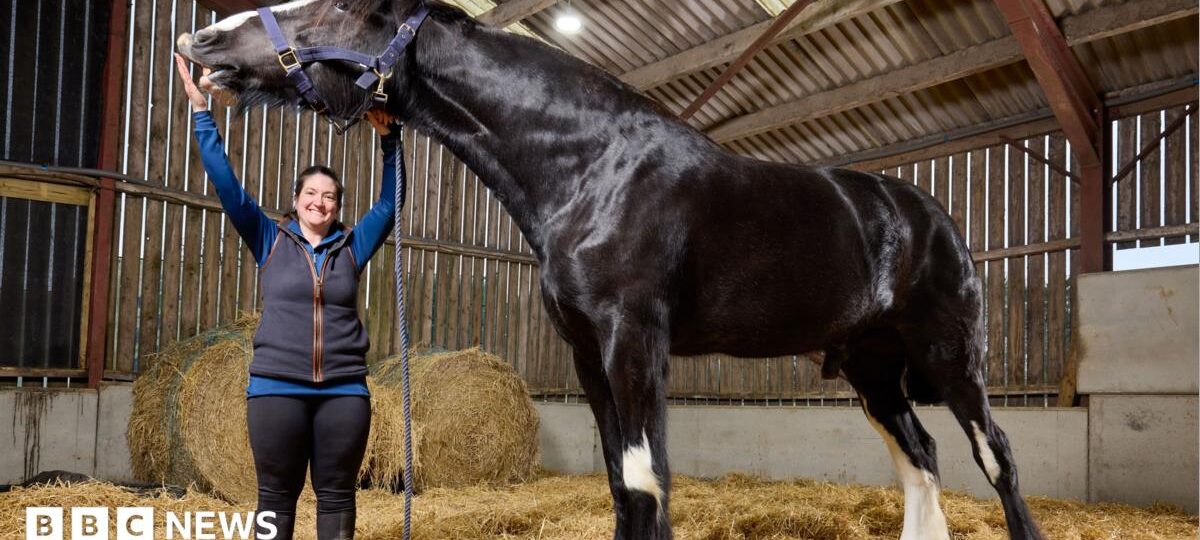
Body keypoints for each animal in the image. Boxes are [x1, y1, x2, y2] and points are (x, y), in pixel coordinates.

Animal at [175, 1, 1045, 538]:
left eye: (334, 9)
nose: (200, 43)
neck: (593, 166)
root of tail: (929, 214)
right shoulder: (587, 352)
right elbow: (621, 482)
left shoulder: (635, 340)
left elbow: (647, 477)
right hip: (871, 369)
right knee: (922, 458)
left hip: (950, 355)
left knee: (997, 454)